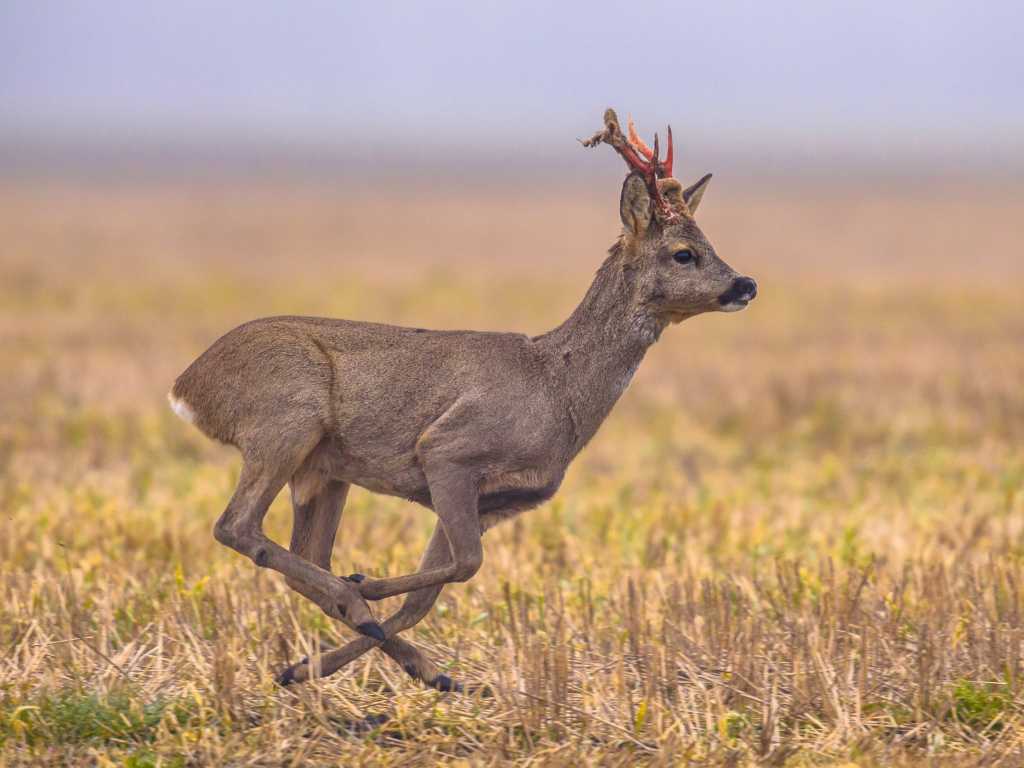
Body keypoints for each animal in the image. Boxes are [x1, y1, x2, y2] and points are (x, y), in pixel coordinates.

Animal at [167, 108, 757, 692]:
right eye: (684, 253)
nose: (745, 284)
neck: (556, 388)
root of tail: (187, 386)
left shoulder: (494, 501)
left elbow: (429, 596)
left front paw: (382, 662)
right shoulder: (449, 449)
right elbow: (467, 565)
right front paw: (369, 587)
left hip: (323, 469)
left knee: (300, 551)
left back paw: (346, 648)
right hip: (286, 417)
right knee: (236, 525)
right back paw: (353, 600)